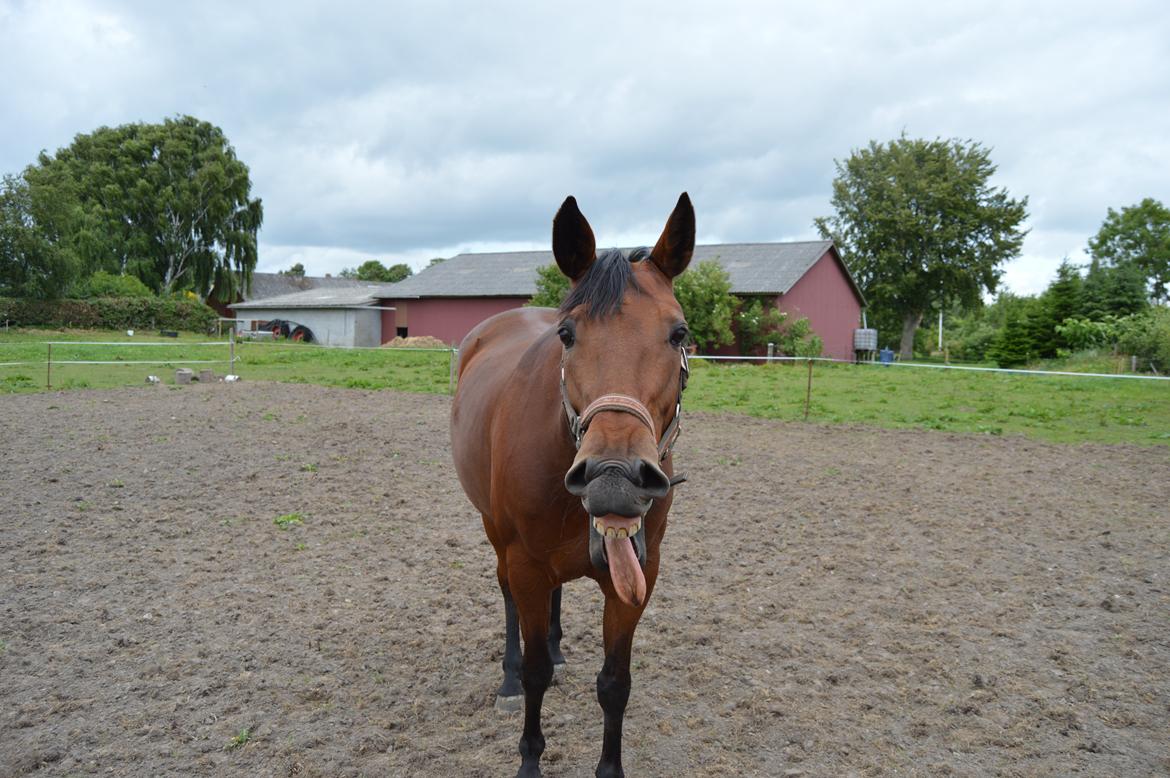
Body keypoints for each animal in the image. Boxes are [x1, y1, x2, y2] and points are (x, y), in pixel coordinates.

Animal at [449, 190, 692, 772]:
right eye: (567, 333)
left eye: (679, 333)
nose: (614, 477)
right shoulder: (525, 563)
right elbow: (536, 672)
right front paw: (529, 760)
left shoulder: (639, 574)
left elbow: (615, 684)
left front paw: (610, 768)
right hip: (495, 532)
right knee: (507, 598)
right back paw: (509, 679)